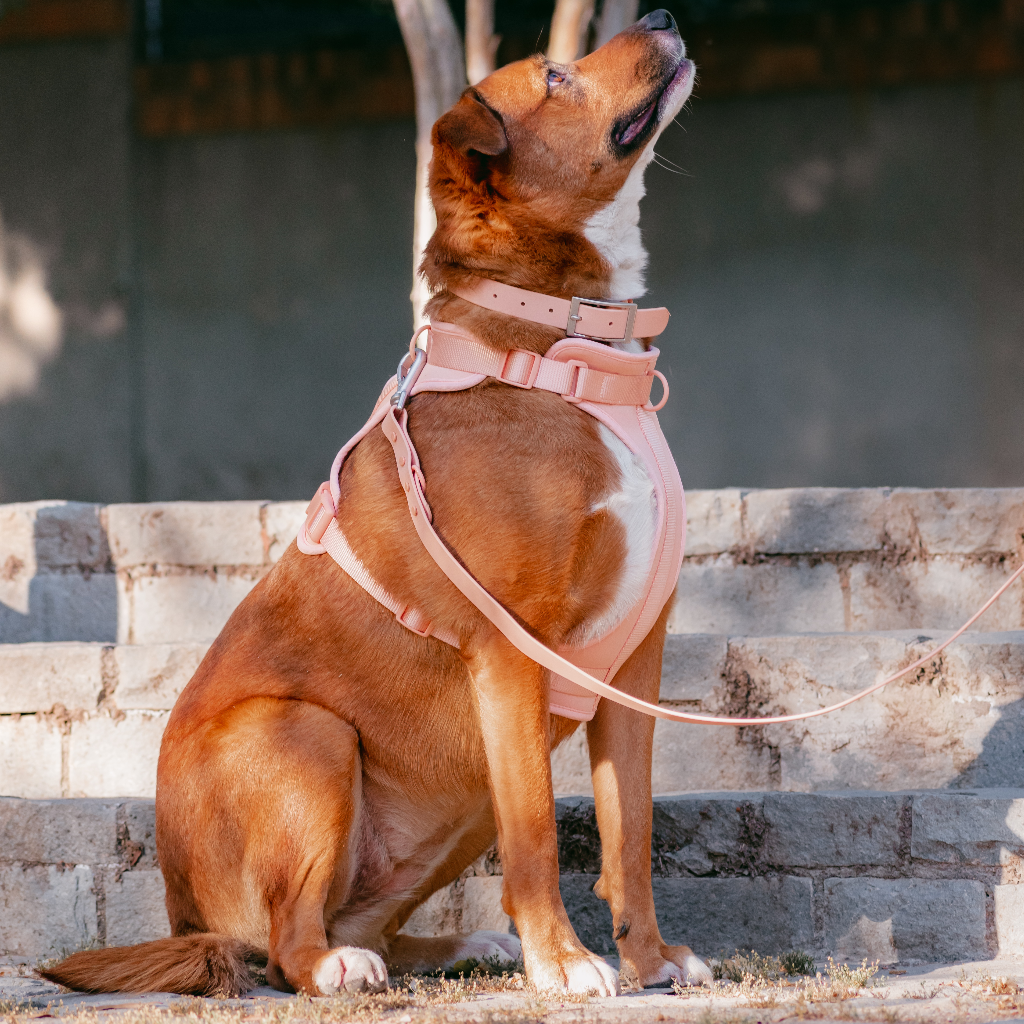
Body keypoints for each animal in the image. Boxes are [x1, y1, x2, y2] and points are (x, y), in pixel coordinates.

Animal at [39, 8, 712, 999]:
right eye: (554, 77)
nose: (662, 16)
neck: (559, 347)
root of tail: (186, 915)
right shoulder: (511, 654)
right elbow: (539, 838)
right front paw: (565, 963)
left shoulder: (632, 665)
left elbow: (631, 833)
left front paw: (651, 958)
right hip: (312, 736)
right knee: (291, 945)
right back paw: (337, 966)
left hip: (451, 796)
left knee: (371, 919)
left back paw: (448, 949)